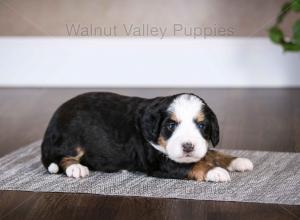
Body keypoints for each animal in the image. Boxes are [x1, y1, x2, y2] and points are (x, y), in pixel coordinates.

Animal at [41, 92, 253, 181]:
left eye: (201, 125)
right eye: (170, 125)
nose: (188, 147)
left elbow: (211, 152)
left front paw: (236, 160)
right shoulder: (160, 163)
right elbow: (194, 164)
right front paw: (216, 171)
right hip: (72, 137)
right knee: (62, 157)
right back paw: (76, 168)